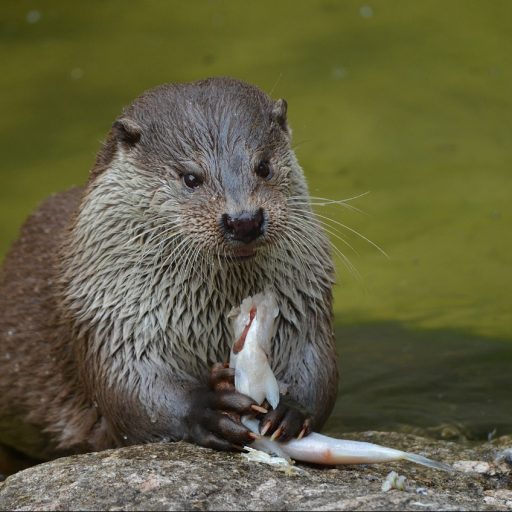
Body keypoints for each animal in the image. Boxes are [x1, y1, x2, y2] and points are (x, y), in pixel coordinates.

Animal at [0, 77, 338, 468]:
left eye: (263, 167)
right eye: (191, 177)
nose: (244, 220)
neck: (209, 318)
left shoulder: (305, 300)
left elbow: (317, 365)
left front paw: (292, 410)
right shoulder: (109, 316)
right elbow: (132, 392)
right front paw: (206, 409)